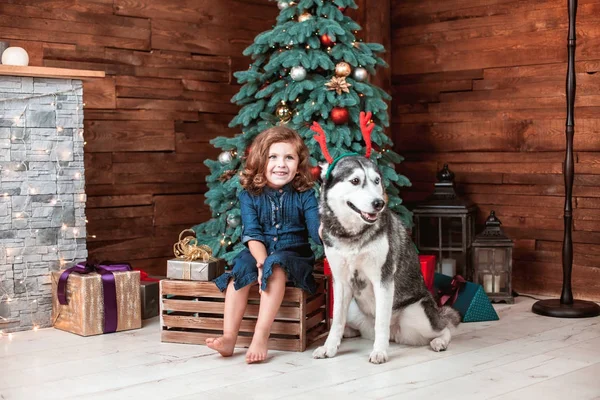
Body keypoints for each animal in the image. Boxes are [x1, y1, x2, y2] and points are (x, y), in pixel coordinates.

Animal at [312, 155, 462, 364]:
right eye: (355, 181)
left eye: (376, 181)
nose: (379, 203)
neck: (353, 235)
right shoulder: (340, 282)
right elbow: (336, 322)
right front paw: (329, 347)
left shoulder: (382, 280)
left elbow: (381, 322)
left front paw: (379, 351)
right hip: (353, 309)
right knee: (350, 325)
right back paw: (349, 333)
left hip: (417, 316)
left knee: (444, 327)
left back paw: (439, 341)